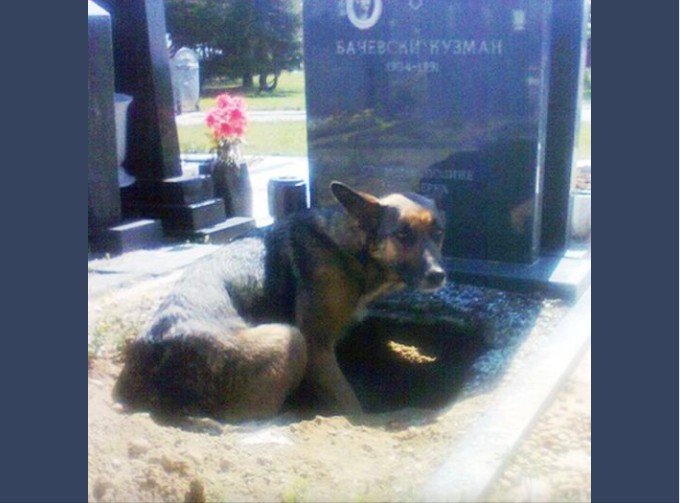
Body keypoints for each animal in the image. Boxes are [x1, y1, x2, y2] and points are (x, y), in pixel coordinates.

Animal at [113, 181, 446, 422]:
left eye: (439, 234)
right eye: (403, 235)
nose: (438, 276)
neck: (349, 248)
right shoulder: (316, 345)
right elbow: (350, 403)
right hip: (288, 338)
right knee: (249, 417)